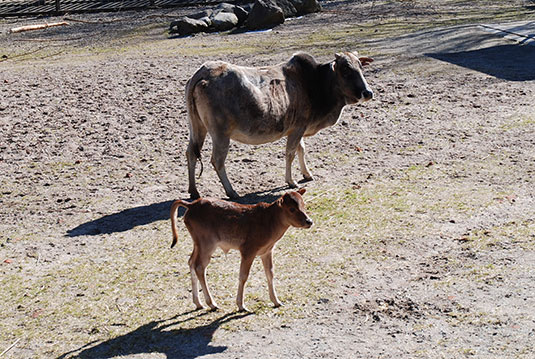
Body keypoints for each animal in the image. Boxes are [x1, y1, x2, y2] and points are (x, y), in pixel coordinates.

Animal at [172, 188, 312, 312]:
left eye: (304, 204)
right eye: (292, 208)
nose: (309, 221)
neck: (270, 223)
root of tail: (190, 205)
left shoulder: (267, 250)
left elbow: (270, 273)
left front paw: (277, 301)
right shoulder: (248, 250)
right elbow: (243, 276)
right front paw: (241, 306)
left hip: (197, 243)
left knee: (191, 261)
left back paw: (198, 303)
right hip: (207, 243)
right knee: (199, 266)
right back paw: (212, 304)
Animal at [184, 52, 372, 200]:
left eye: (360, 67)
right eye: (346, 70)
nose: (368, 93)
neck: (315, 83)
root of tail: (203, 72)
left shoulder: (299, 128)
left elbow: (301, 150)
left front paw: (307, 174)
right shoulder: (297, 128)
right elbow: (290, 154)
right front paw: (291, 181)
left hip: (197, 127)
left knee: (191, 153)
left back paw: (194, 191)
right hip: (220, 133)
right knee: (217, 160)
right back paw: (232, 192)